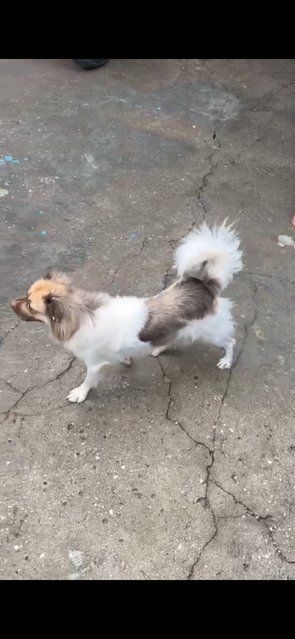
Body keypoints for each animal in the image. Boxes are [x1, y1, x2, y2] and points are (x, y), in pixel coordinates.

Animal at [10, 220, 244, 400]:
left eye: (30, 305)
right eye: (26, 295)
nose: (10, 303)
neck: (81, 311)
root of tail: (204, 285)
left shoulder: (93, 363)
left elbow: (88, 380)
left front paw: (80, 393)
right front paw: (125, 358)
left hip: (213, 332)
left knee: (230, 342)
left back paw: (226, 360)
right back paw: (159, 348)